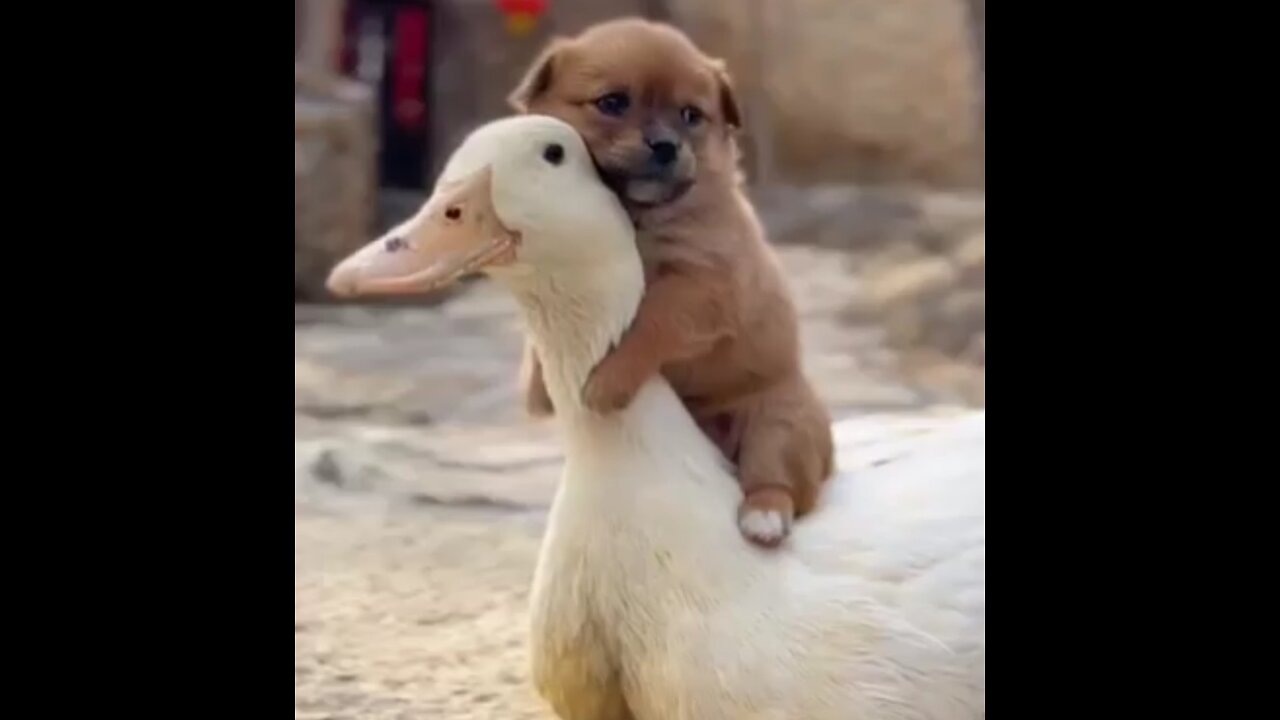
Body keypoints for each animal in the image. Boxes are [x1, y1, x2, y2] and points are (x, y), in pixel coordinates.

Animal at [504, 16, 834, 543]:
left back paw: (763, 516)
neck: (636, 217)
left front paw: (608, 383)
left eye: (690, 115)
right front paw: (536, 385)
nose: (665, 146)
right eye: (613, 103)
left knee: (780, 484)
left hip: (778, 423)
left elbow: (649, 323)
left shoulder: (699, 287)